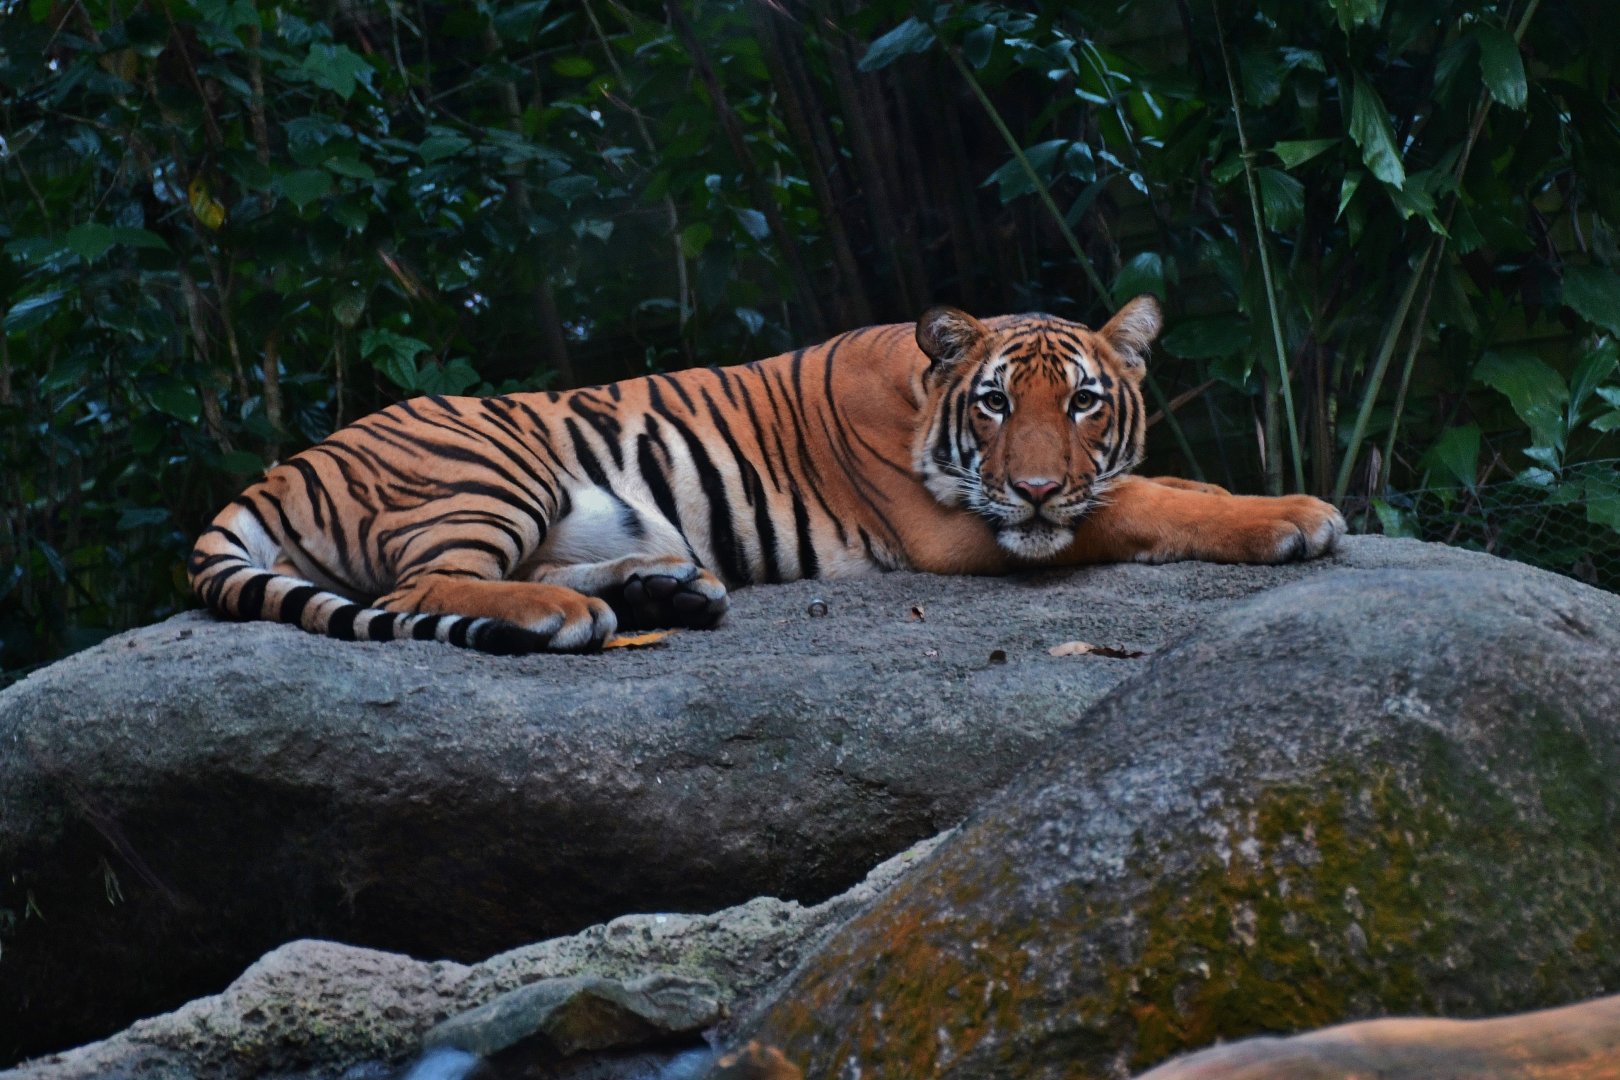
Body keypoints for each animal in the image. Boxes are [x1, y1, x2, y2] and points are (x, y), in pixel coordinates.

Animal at [188, 296, 1344, 654]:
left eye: (1086, 405)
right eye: (995, 405)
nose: (1034, 491)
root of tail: (282, 466)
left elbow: (1165, 487)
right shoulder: (957, 531)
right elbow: (1143, 504)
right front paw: (1298, 516)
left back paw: (670, 593)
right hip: (493, 465)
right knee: (423, 584)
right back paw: (578, 618)